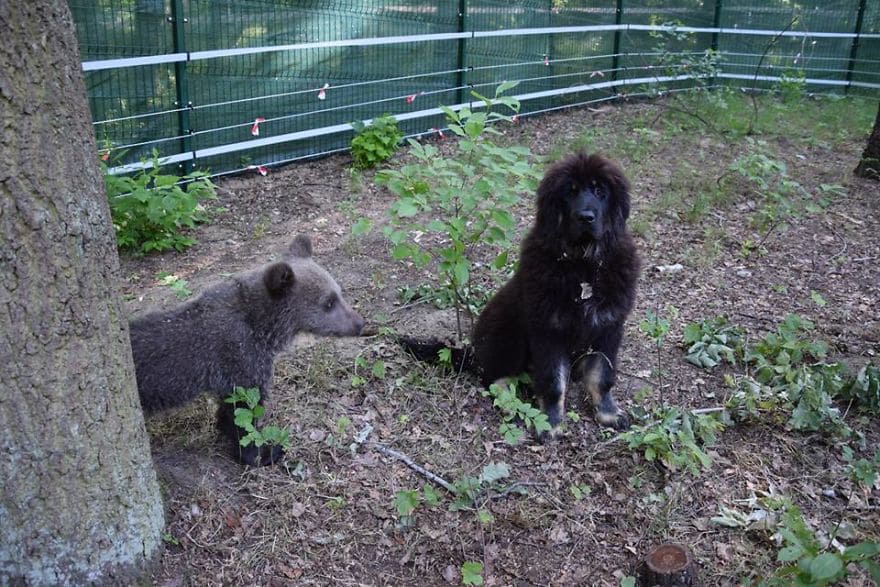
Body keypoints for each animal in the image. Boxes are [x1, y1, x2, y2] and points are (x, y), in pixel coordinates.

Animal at [404, 152, 640, 436]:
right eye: (570, 192)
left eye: (599, 191)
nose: (586, 217)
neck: (583, 265)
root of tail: (472, 351)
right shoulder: (549, 332)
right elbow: (553, 382)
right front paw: (550, 422)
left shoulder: (608, 327)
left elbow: (602, 376)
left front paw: (608, 413)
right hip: (507, 335)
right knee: (491, 376)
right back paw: (509, 399)